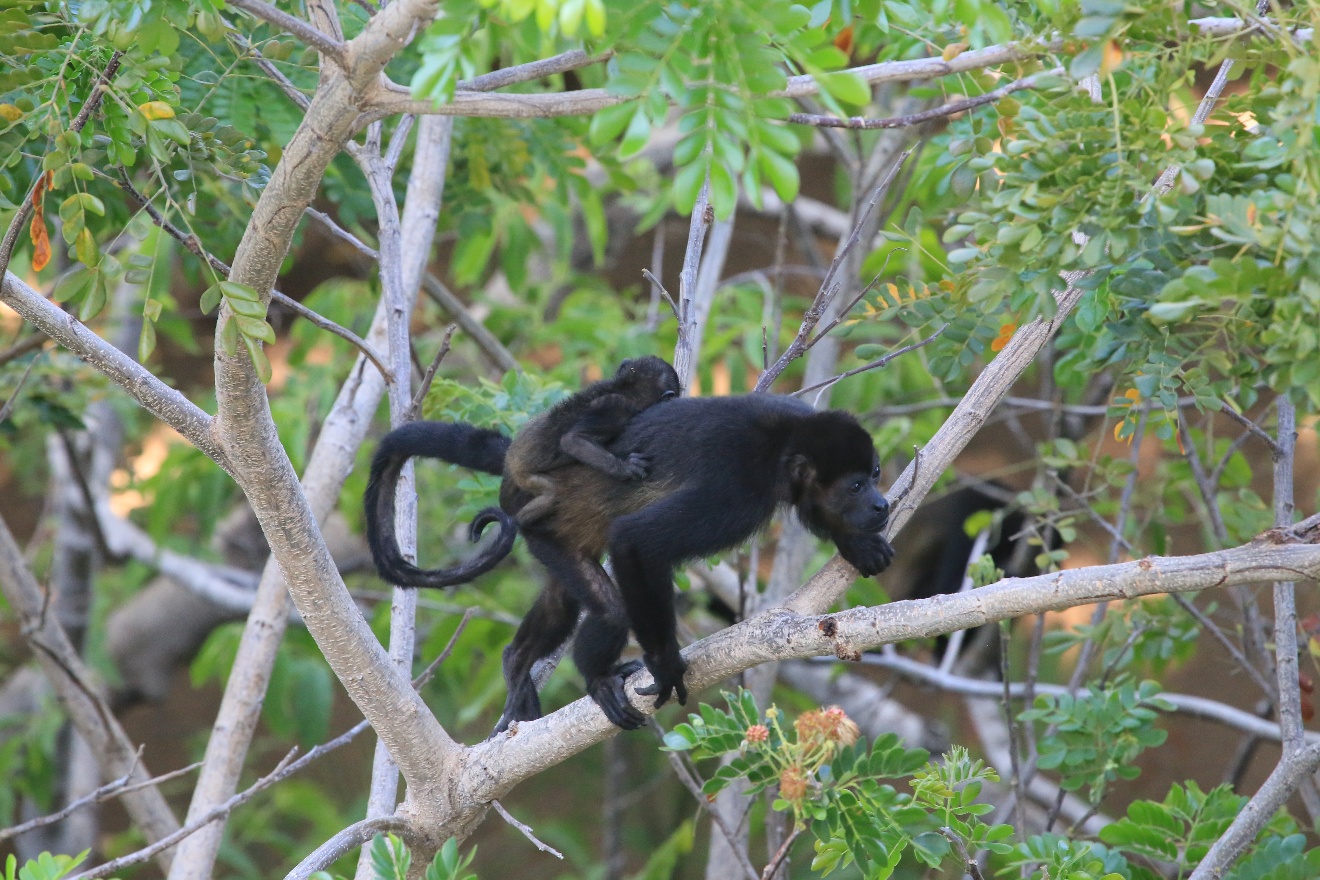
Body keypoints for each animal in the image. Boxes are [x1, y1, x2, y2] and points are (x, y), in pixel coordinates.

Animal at [364, 393, 894, 731]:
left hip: (546, 534)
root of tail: (521, 468)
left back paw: (517, 661)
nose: (882, 504)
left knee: (562, 598)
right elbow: (637, 542)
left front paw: (855, 543)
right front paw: (667, 665)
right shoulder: (737, 490)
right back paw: (598, 678)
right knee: (611, 608)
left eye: (874, 473)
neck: (785, 446)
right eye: (855, 486)